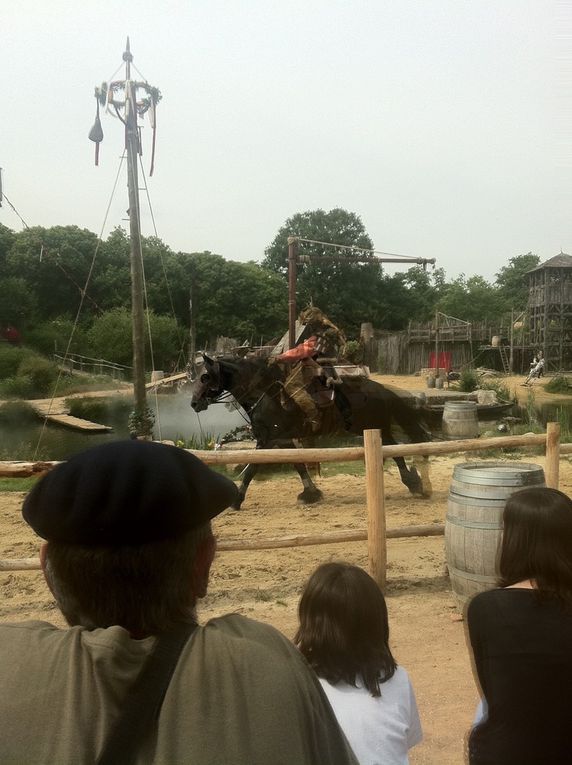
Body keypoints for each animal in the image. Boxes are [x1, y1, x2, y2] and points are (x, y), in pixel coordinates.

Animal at [188, 356, 428, 510]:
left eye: (205, 377)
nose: (193, 403)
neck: (266, 396)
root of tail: (381, 389)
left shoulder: (267, 440)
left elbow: (252, 469)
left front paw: (237, 500)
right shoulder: (282, 440)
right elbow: (299, 465)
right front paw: (311, 493)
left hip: (376, 426)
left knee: (395, 450)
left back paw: (413, 483)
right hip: (371, 428)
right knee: (393, 449)